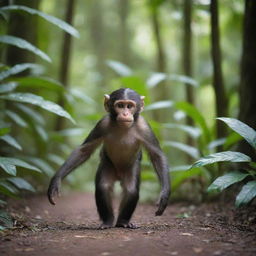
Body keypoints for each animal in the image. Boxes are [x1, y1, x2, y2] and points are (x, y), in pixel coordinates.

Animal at [48, 88, 171, 230]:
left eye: (130, 106)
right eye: (120, 105)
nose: (125, 113)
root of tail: (119, 174)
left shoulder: (145, 127)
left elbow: (157, 155)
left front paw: (164, 195)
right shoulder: (102, 124)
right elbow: (84, 151)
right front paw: (55, 180)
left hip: (130, 168)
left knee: (131, 190)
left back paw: (123, 221)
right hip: (107, 165)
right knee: (104, 187)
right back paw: (108, 221)